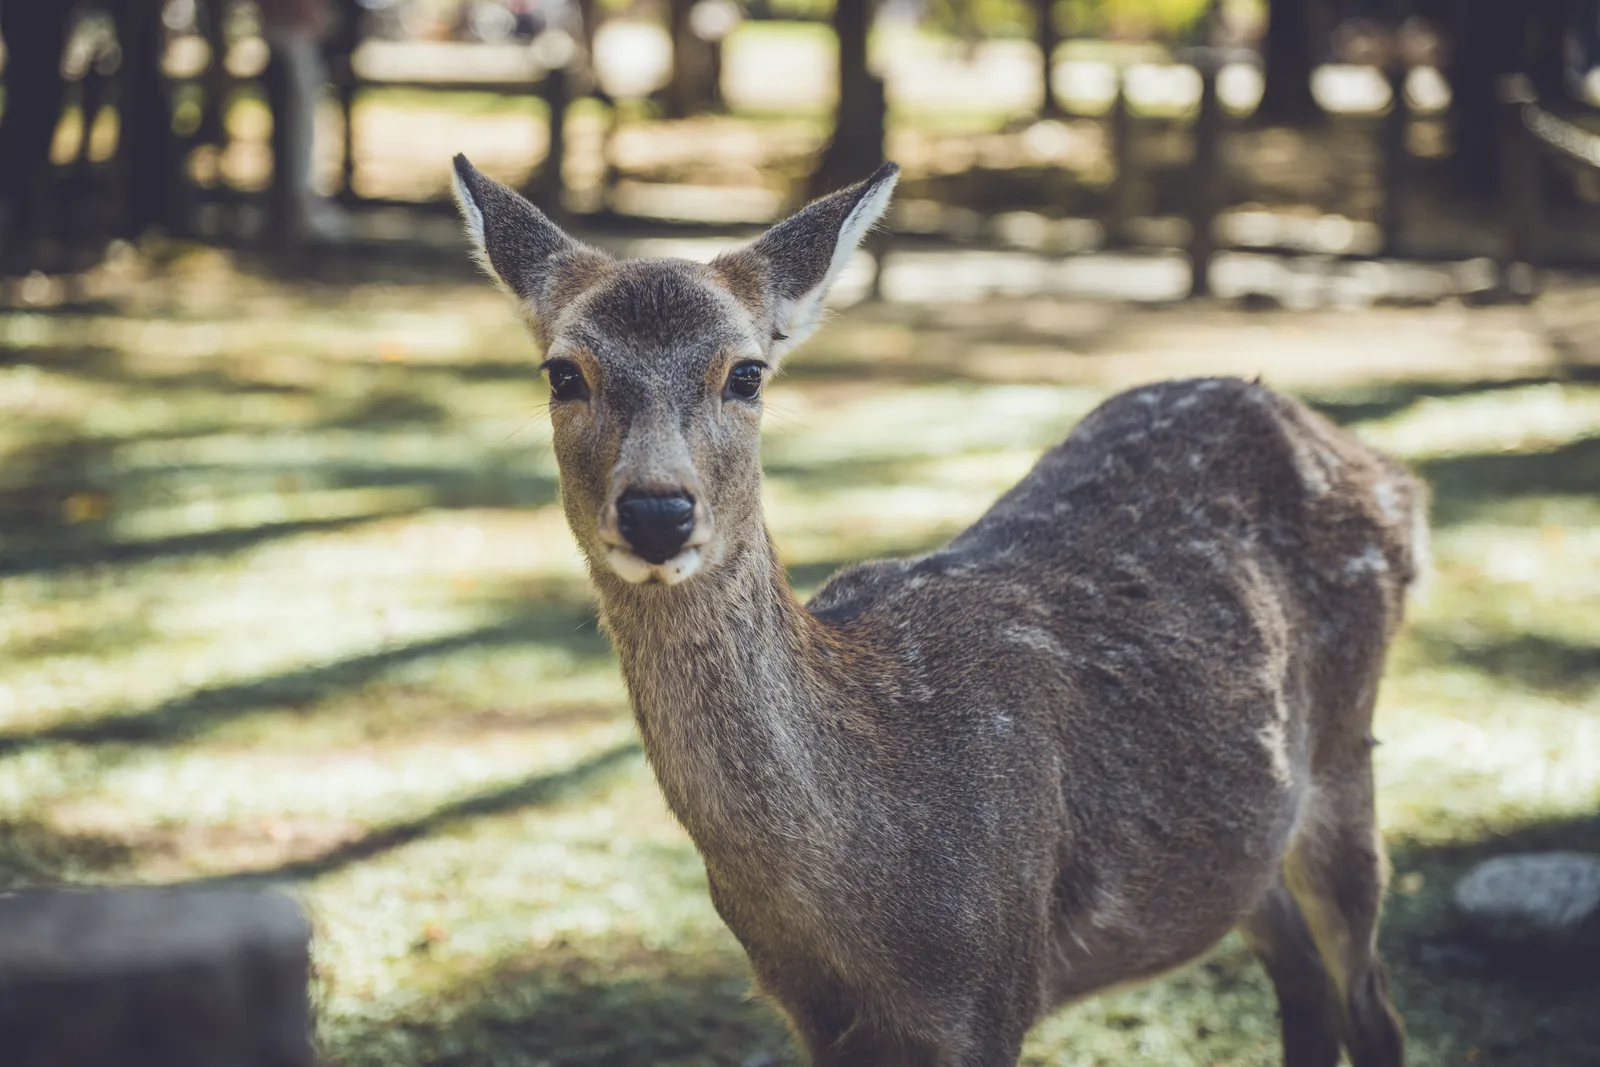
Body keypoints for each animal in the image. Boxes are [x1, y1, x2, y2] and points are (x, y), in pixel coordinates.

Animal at [449, 155, 1424, 1067]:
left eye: (747, 373)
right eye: (562, 372)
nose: (658, 510)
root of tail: (1390, 472)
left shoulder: (992, 985)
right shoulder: (812, 1013)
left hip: (1346, 755)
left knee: (1373, 1004)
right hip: (1252, 839)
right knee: (1305, 984)